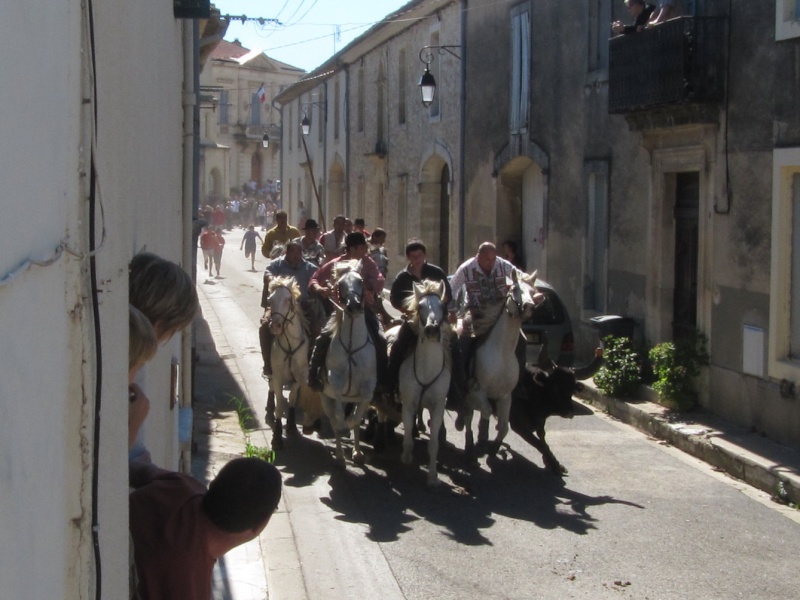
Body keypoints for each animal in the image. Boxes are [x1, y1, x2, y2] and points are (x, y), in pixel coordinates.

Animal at [266, 274, 310, 448]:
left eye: (288, 299)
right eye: (270, 300)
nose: (276, 326)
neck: (290, 346)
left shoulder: (299, 377)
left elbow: (292, 398)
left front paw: (291, 425)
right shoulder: (278, 377)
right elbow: (279, 405)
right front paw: (277, 437)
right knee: (271, 386)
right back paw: (269, 407)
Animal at [320, 260, 376, 466]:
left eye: (361, 281)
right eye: (340, 284)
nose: (353, 306)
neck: (352, 346)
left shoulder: (368, 389)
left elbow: (357, 418)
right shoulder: (334, 382)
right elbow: (339, 417)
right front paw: (344, 429)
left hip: (352, 398)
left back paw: (357, 453)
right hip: (325, 398)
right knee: (334, 419)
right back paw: (339, 457)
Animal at [398, 280, 450, 482]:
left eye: (442, 306)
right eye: (420, 307)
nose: (432, 330)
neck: (427, 370)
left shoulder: (438, 407)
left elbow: (434, 444)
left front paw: (433, 477)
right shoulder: (407, 404)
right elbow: (407, 440)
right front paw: (406, 459)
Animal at [462, 270, 536, 458]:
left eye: (533, 292)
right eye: (515, 289)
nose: (529, 306)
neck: (501, 354)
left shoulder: (505, 396)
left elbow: (504, 427)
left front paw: (494, 447)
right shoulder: (478, 390)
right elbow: (486, 411)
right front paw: (481, 439)